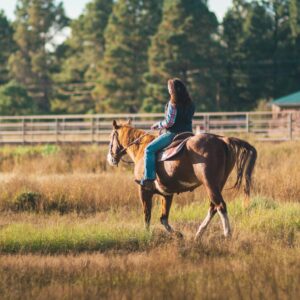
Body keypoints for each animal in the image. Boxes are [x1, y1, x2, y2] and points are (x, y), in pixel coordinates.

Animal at [106, 120, 256, 239]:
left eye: (111, 137)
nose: (110, 158)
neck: (142, 150)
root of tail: (223, 140)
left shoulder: (144, 190)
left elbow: (147, 214)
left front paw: (147, 234)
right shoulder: (167, 194)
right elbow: (163, 218)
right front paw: (178, 234)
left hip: (210, 184)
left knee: (220, 205)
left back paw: (226, 235)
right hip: (218, 184)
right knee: (213, 207)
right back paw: (198, 234)